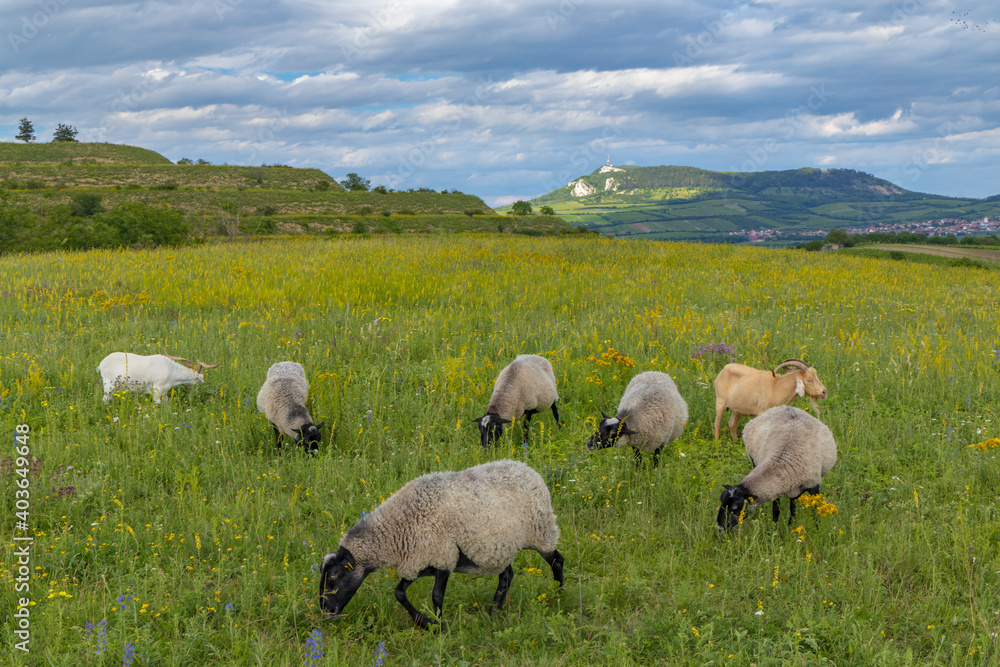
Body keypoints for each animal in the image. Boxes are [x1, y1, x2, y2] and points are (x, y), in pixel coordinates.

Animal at [318, 459, 564, 629]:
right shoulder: (418, 562)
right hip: (500, 546)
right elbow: (399, 593)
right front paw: (424, 622)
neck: (398, 529)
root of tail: (527, 468)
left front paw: (438, 626)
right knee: (506, 575)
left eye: (333, 577)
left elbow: (436, 595)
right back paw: (494, 611)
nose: (326, 611)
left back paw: (559, 594)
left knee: (557, 560)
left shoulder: (444, 557)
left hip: (541, 532)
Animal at [715, 405, 837, 534]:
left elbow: (815, 511)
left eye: (735, 507)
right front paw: (774, 531)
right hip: (756, 462)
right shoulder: (776, 489)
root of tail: (784, 407)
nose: (719, 528)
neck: (783, 462)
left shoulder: (813, 485)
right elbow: (776, 510)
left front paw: (817, 531)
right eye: (721, 499)